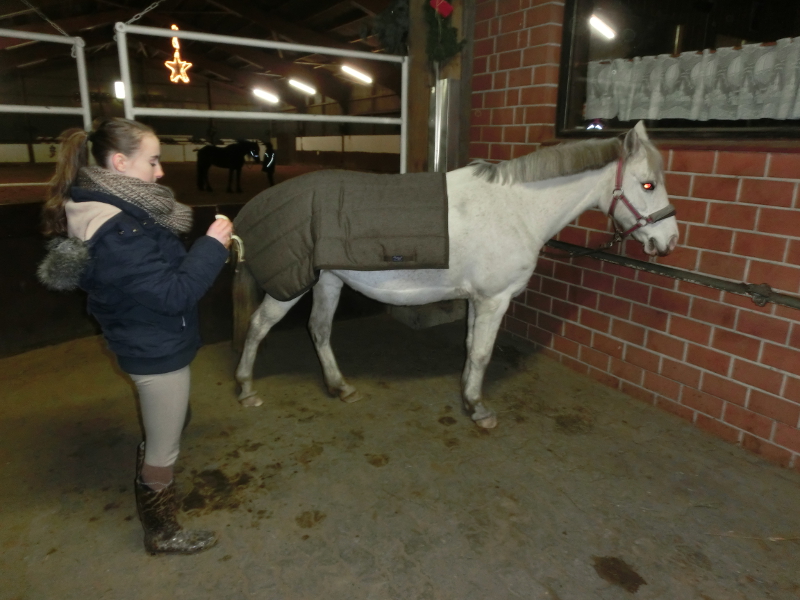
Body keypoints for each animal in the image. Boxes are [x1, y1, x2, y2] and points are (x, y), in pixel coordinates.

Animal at [230, 122, 679, 429]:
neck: (515, 209)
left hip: (328, 281)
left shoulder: (477, 299)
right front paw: (478, 408)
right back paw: (247, 389)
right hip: (290, 286)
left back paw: (341, 387)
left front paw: (467, 394)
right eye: (648, 184)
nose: (669, 239)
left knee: (319, 330)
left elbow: (469, 347)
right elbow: (481, 352)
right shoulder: (495, 299)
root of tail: (257, 204)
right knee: (258, 326)